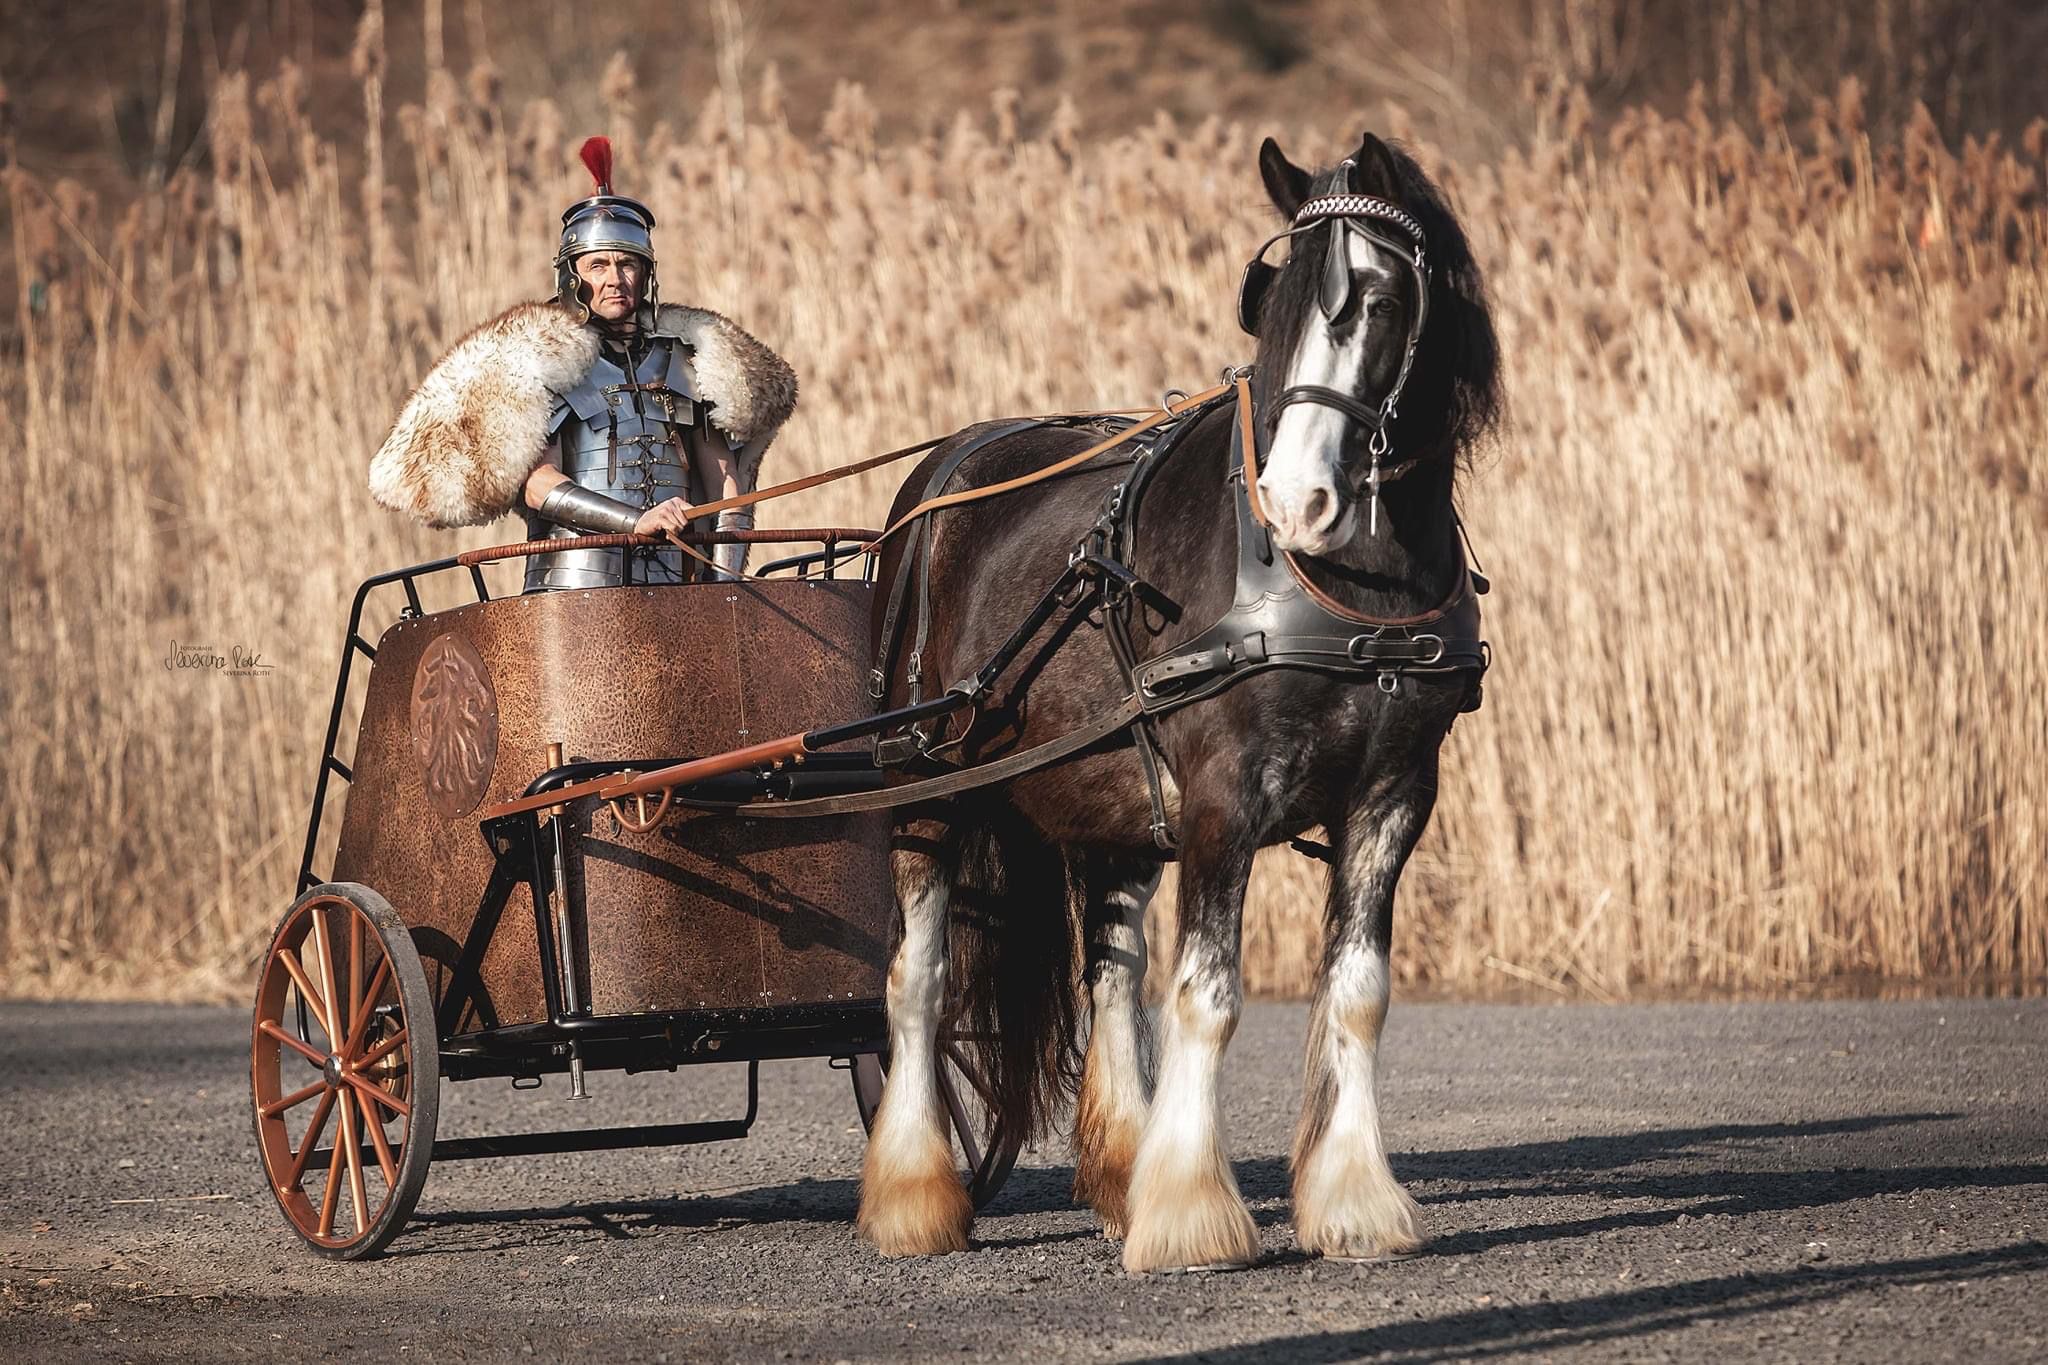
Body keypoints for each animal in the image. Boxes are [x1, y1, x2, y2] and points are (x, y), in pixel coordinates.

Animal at [851, 133, 1507, 1277]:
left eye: (1380, 303)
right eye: (1273, 303)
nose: (1296, 503)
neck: (1351, 585)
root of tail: (937, 479)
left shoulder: (1393, 799)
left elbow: (1357, 994)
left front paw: (1351, 1203)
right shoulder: (1220, 798)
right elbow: (1208, 994)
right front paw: (1194, 1217)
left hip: (1107, 805)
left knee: (1109, 974)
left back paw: (1122, 1173)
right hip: (924, 784)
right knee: (918, 980)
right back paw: (915, 1196)